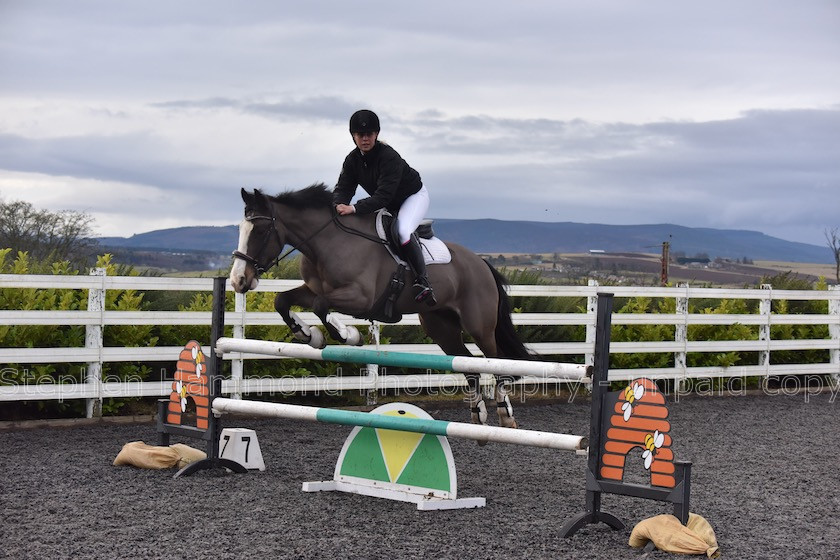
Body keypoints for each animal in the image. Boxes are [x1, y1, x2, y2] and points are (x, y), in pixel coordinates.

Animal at [230, 185, 532, 428]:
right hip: (440, 327)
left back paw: (505, 413)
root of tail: (481, 263)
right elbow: (283, 301)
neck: (326, 243)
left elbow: (320, 305)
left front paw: (348, 335)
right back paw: (478, 415)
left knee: (496, 362)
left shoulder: (360, 297)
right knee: (469, 366)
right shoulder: (313, 289)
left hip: (479, 325)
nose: (238, 280)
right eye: (240, 230)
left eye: (260, 231)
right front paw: (309, 335)